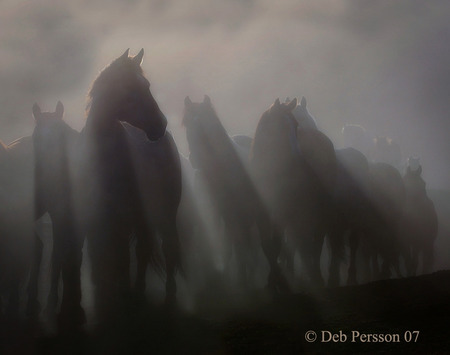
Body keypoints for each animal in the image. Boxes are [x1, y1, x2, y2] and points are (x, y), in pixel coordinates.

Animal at [251, 98, 336, 290]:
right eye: (280, 127)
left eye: (295, 125)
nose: (300, 161)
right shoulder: (261, 214)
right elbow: (267, 245)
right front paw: (273, 278)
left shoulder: (283, 213)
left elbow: (277, 244)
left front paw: (277, 279)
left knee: (316, 242)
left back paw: (318, 277)